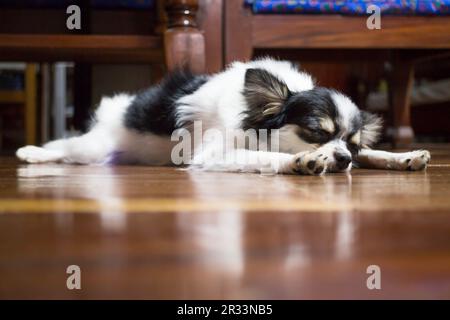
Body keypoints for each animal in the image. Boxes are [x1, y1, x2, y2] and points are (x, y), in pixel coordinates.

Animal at [16, 58, 428, 174]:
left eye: (352, 146)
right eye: (315, 132)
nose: (343, 159)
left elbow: (378, 154)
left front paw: (404, 156)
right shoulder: (213, 155)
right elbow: (268, 156)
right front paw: (300, 160)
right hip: (93, 147)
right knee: (65, 146)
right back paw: (31, 152)